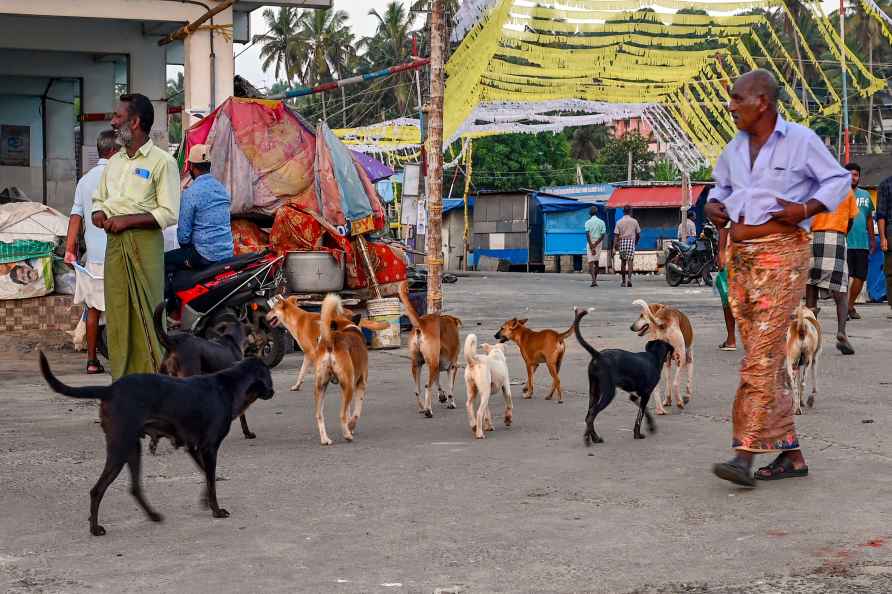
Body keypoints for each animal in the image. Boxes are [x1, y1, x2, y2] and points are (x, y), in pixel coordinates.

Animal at [38, 350, 274, 536]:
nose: (273, 392)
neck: (230, 385)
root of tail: (110, 389)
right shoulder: (209, 448)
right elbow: (211, 481)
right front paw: (216, 510)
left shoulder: (193, 447)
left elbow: (207, 476)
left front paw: (205, 501)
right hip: (120, 449)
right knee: (96, 490)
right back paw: (95, 529)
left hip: (132, 448)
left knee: (134, 488)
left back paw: (152, 515)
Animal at [398, 280, 464, 416]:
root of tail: (421, 324)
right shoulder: (452, 366)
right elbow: (450, 388)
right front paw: (451, 402)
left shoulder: (437, 366)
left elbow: (438, 382)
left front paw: (442, 396)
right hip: (432, 364)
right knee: (427, 386)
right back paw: (428, 410)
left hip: (417, 364)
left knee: (417, 389)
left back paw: (422, 408)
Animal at [576, 308, 672, 442]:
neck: (653, 356)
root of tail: (598, 355)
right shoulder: (646, 394)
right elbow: (640, 416)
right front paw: (638, 434)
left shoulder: (635, 395)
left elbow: (645, 411)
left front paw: (651, 426)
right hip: (608, 392)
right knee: (592, 415)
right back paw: (590, 439)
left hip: (594, 391)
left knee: (589, 415)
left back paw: (594, 437)